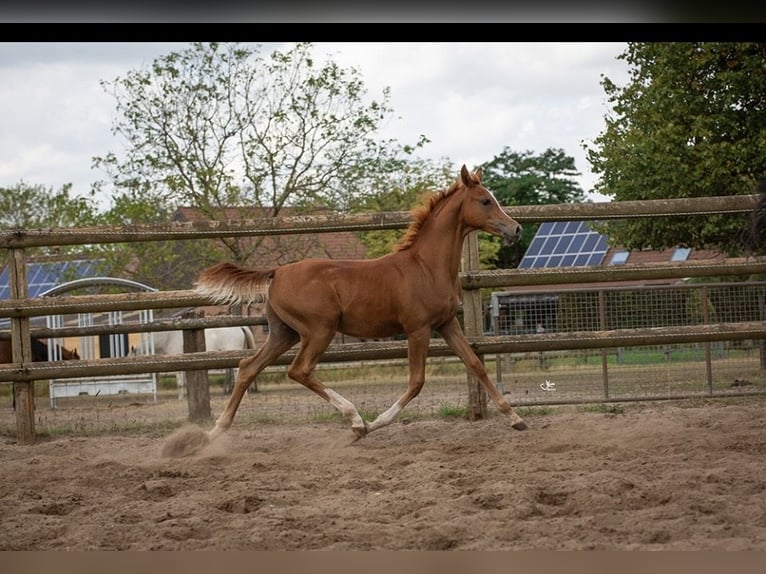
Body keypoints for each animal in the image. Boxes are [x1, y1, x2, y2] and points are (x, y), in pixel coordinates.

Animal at [195, 164, 528, 443]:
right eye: (485, 201)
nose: (516, 229)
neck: (426, 266)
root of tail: (277, 271)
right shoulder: (418, 329)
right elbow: (417, 381)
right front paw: (376, 422)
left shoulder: (446, 323)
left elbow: (475, 364)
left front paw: (516, 419)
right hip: (319, 330)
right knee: (299, 370)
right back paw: (356, 421)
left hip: (283, 333)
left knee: (247, 368)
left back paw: (216, 430)